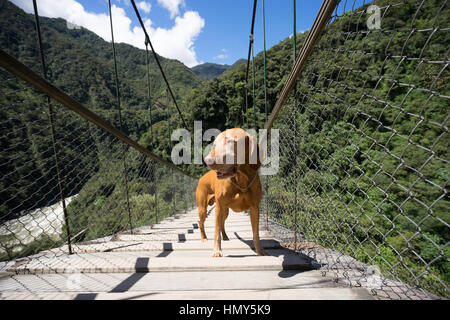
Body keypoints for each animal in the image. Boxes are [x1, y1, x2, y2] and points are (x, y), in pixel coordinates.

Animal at [195, 128, 266, 258]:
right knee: (201, 222)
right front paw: (217, 251)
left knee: (222, 222)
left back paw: (225, 236)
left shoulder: (255, 208)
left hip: (225, 210)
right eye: (215, 144)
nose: (207, 160)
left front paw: (260, 251)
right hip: (203, 208)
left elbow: (256, 233)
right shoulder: (218, 207)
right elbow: (216, 232)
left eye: (230, 141)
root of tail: (201, 178)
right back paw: (204, 238)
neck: (241, 179)